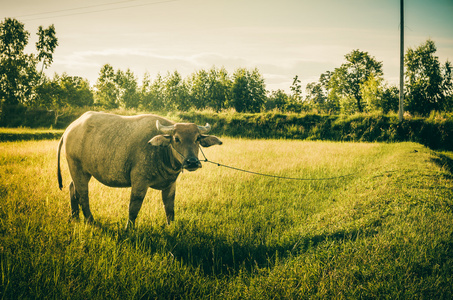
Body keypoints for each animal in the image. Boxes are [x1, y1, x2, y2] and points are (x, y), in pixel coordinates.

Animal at [56, 111, 222, 229]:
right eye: (176, 139)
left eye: (197, 139)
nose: (192, 162)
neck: (161, 152)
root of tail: (70, 129)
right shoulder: (139, 181)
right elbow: (134, 206)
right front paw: (128, 229)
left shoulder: (170, 184)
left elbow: (169, 207)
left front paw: (171, 226)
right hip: (77, 167)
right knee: (83, 194)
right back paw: (90, 220)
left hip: (81, 171)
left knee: (73, 188)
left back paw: (75, 217)